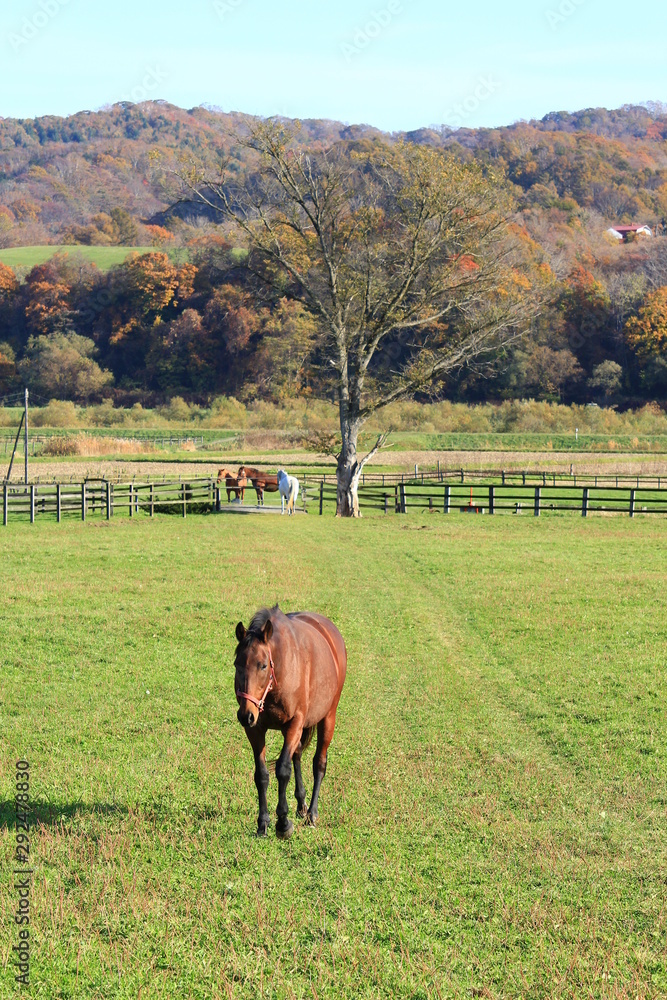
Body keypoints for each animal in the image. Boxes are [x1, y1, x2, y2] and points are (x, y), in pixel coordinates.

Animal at [234, 606, 347, 838]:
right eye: (236, 664)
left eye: (263, 665)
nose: (244, 715)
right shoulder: (256, 730)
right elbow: (262, 775)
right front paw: (263, 823)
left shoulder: (294, 723)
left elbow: (283, 770)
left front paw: (283, 823)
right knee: (297, 755)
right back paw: (302, 804)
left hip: (328, 717)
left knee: (319, 763)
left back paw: (312, 813)